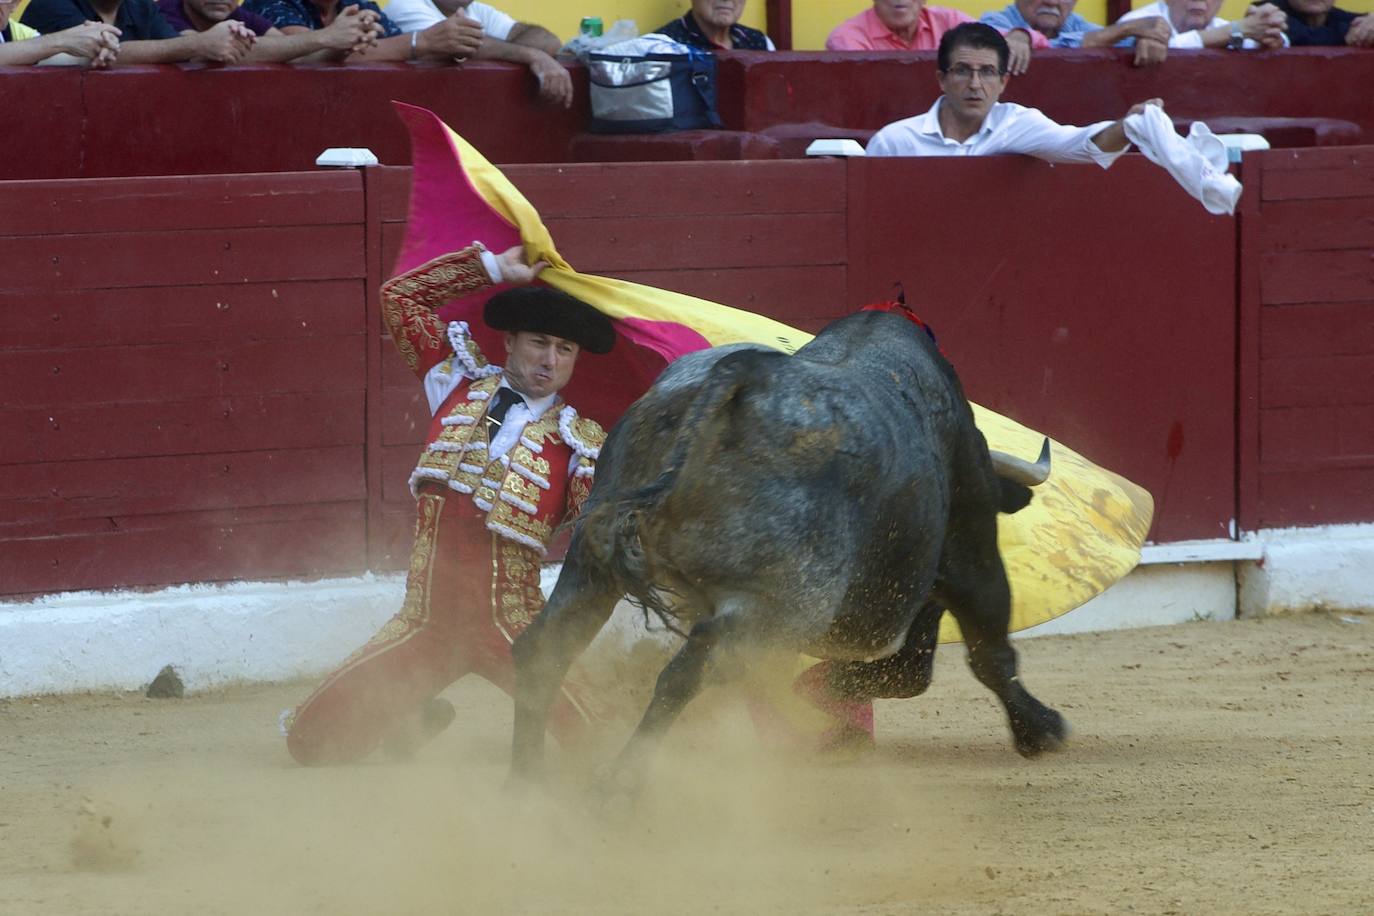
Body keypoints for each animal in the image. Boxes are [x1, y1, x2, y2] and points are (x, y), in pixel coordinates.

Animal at [511, 310, 1066, 796]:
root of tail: (739, 378)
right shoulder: (968, 546)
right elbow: (982, 651)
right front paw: (1042, 729)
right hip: (779, 605)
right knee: (687, 672)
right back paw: (618, 786)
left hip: (592, 561)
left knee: (545, 649)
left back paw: (529, 781)